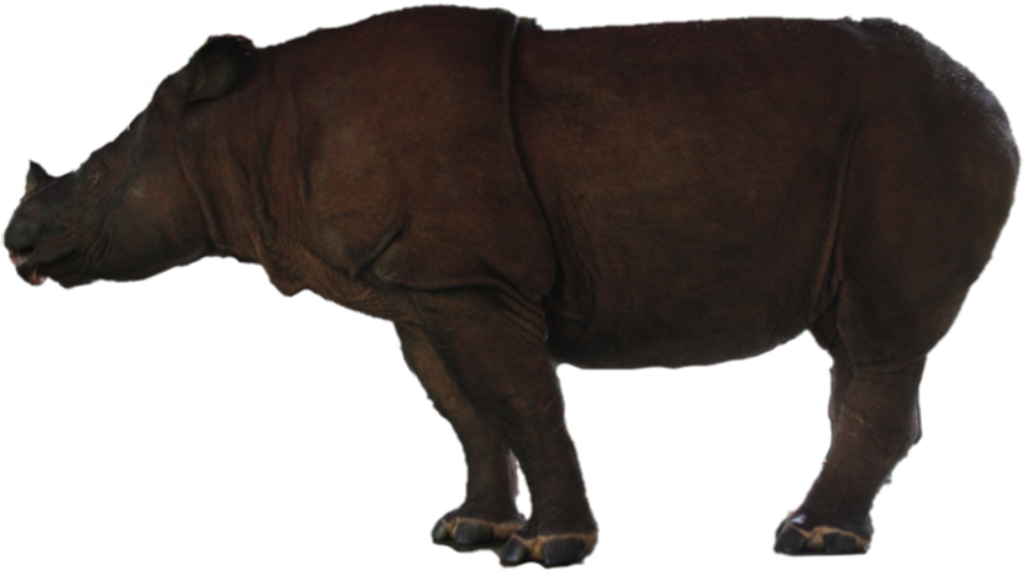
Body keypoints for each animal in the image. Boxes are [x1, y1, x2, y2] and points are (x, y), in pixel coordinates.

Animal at [3, 5, 1018, 564]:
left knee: (880, 337)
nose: (15, 240)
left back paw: (811, 538)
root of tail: (989, 96)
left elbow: (525, 402)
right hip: (914, 137)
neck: (249, 126)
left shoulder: (473, 281)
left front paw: (552, 548)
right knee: (862, 346)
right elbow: (468, 411)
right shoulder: (424, 289)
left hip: (919, 136)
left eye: (96, 179)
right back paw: (825, 526)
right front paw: (470, 529)